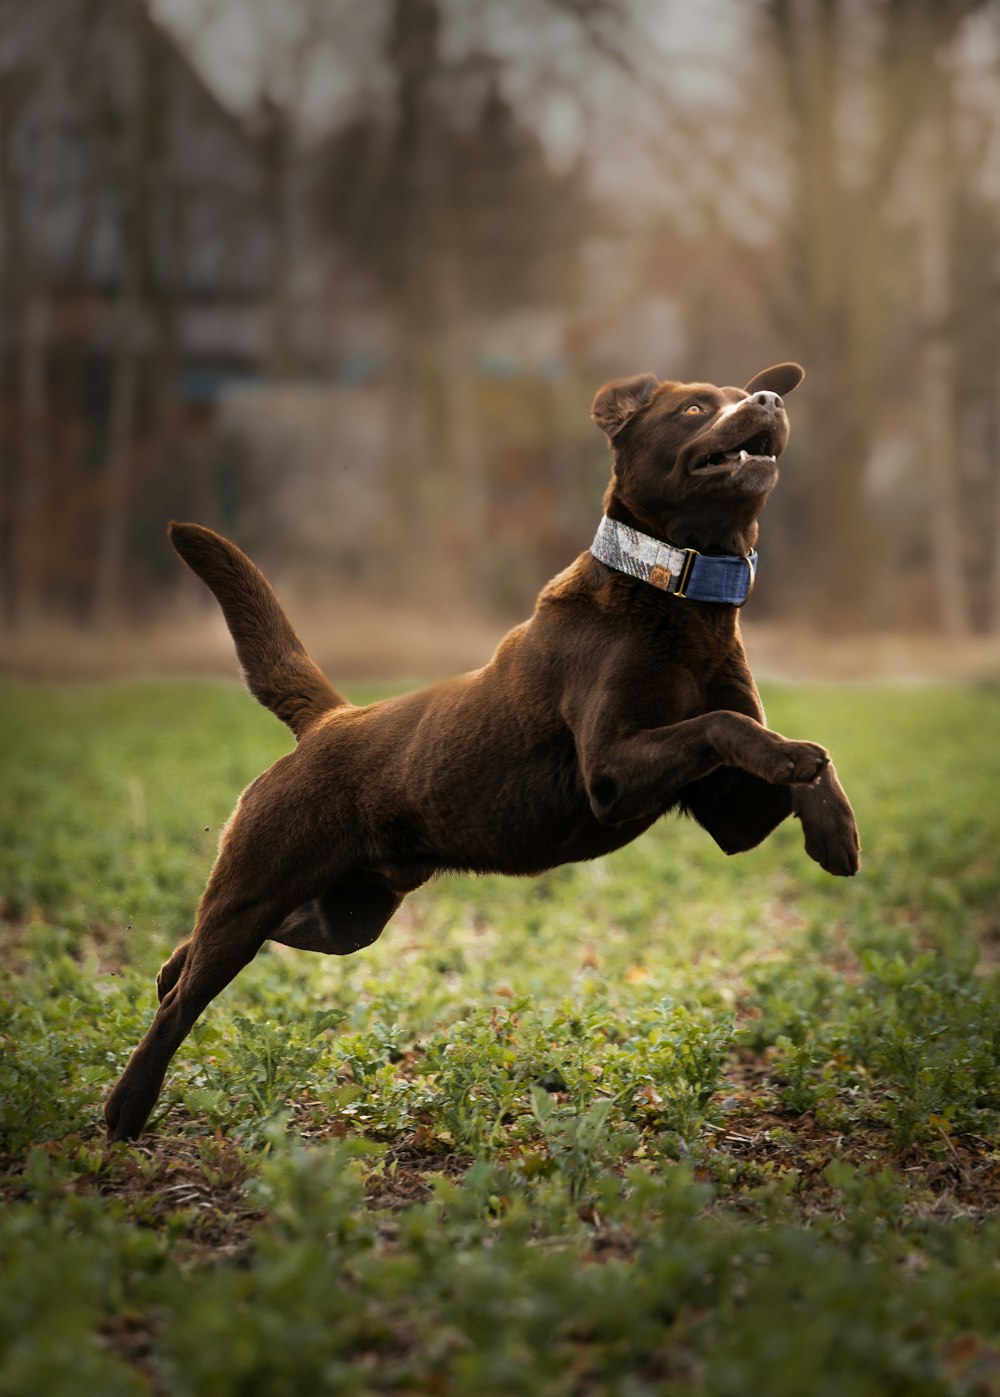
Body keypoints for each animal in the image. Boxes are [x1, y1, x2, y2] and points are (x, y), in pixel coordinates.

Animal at [105, 366, 865, 1139]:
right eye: (694, 408)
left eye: (745, 394)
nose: (769, 400)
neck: (674, 589)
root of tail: (328, 721)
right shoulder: (611, 771)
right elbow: (721, 723)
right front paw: (799, 767)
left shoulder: (731, 818)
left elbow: (792, 753)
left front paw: (833, 825)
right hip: (259, 882)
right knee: (186, 1000)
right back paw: (126, 1108)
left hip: (347, 914)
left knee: (225, 950)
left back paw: (166, 972)